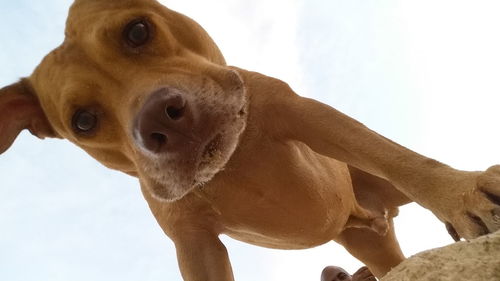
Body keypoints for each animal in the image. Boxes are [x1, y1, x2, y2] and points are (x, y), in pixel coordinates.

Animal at [0, 0, 500, 278]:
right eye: (83, 121)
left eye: (137, 31)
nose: (162, 118)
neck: (233, 164)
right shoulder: (195, 245)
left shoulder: (307, 116)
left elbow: (394, 155)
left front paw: (460, 192)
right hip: (372, 248)